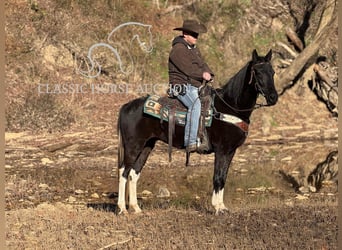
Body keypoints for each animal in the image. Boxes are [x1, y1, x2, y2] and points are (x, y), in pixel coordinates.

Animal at [116, 49, 276, 215]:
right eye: (258, 72)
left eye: (273, 72)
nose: (273, 98)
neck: (230, 106)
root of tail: (126, 106)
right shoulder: (222, 150)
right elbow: (217, 177)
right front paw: (217, 207)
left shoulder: (230, 151)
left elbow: (223, 177)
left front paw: (222, 207)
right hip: (133, 146)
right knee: (123, 172)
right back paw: (122, 208)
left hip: (147, 145)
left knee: (134, 174)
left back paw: (136, 208)